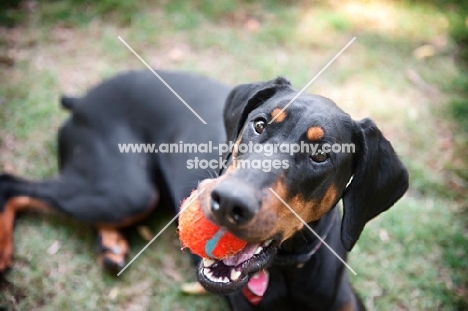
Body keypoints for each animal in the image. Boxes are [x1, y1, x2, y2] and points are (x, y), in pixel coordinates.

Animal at [0, 69, 408, 310]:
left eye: (321, 154)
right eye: (259, 124)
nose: (228, 202)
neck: (287, 272)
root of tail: (83, 99)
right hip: (126, 190)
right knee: (10, 183)